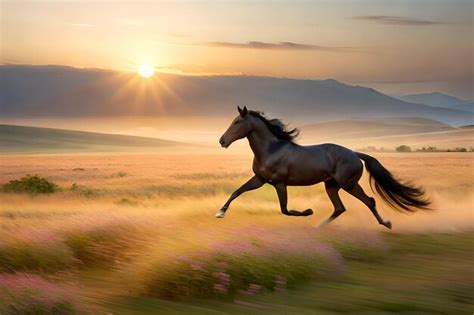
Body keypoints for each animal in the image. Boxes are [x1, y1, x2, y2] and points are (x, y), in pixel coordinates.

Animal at [217, 107, 432, 230]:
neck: (271, 149)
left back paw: (386, 223)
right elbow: (237, 191)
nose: (222, 141)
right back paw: (319, 227)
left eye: (237, 122)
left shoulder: (279, 183)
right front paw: (220, 213)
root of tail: (355, 154)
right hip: (331, 186)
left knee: (369, 201)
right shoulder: (260, 180)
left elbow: (285, 209)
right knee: (340, 208)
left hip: (348, 184)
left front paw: (308, 211)